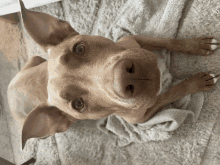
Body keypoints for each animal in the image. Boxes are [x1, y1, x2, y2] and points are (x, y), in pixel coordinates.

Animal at [7, 0, 219, 150]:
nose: (123, 78)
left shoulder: (135, 39)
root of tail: (9, 97)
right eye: (78, 104)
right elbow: (172, 92)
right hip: (52, 131)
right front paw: (198, 82)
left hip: (34, 59)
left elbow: (167, 41)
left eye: (79, 48)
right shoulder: (143, 115)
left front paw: (198, 45)